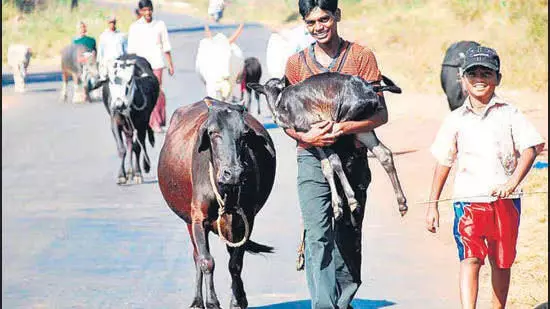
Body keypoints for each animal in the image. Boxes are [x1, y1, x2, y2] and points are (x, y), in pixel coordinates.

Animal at [101, 53, 160, 184]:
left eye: (129, 80)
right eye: (111, 81)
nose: (119, 104)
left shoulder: (141, 124)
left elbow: (137, 147)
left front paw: (138, 173)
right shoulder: (115, 123)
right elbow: (122, 149)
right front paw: (121, 175)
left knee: (140, 143)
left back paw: (144, 167)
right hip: (127, 126)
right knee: (129, 142)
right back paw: (129, 172)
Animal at [157, 98, 278, 308]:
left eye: (244, 134)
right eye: (213, 133)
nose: (234, 173)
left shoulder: (246, 220)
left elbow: (235, 264)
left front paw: (237, 301)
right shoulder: (198, 219)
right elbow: (206, 261)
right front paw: (212, 301)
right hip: (189, 221)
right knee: (197, 256)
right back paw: (197, 301)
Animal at [250, 72, 410, 221]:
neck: (281, 100)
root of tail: (370, 87)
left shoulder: (319, 130)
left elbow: (334, 162)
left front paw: (349, 200)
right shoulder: (315, 140)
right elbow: (326, 167)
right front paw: (337, 207)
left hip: (341, 125)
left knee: (343, 160)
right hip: (361, 129)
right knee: (384, 154)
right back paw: (401, 203)